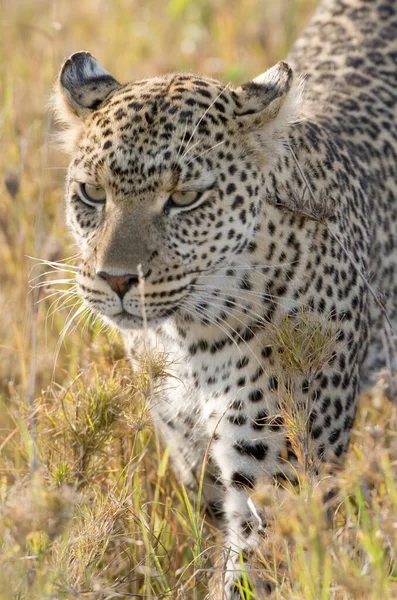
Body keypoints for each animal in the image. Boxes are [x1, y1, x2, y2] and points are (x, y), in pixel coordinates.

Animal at [53, 1, 396, 596]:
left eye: (185, 198)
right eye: (92, 193)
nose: (116, 279)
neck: (189, 341)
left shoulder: (282, 480)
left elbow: (253, 573)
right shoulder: (192, 452)